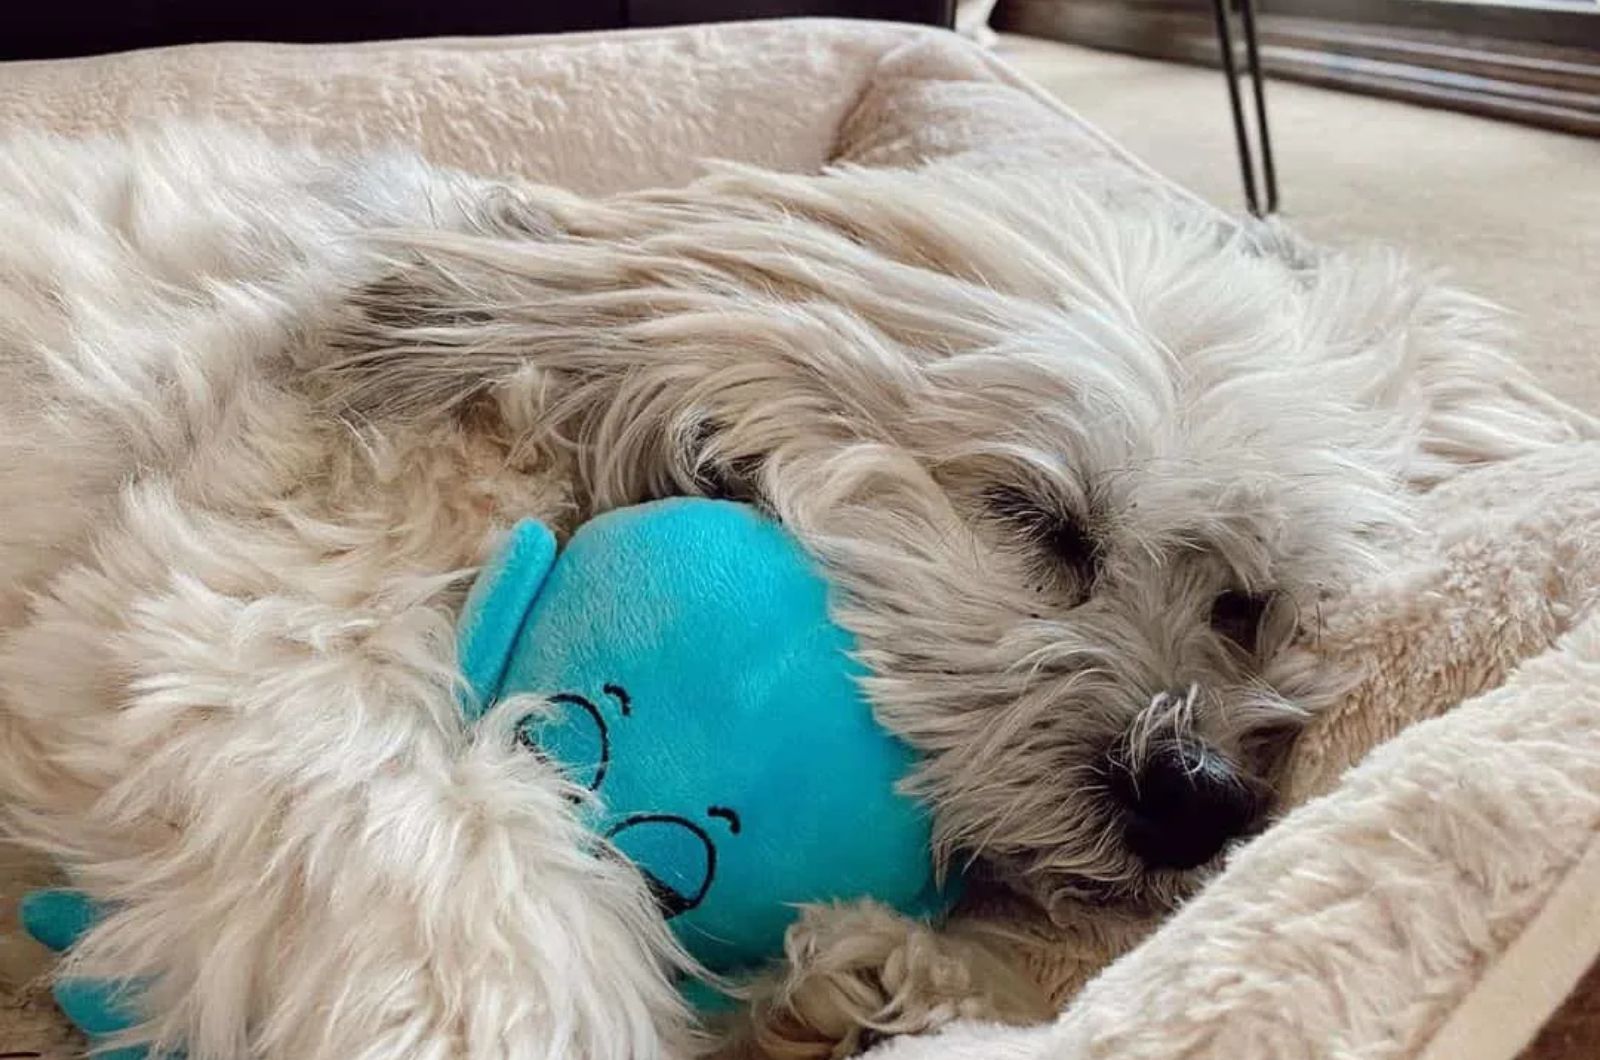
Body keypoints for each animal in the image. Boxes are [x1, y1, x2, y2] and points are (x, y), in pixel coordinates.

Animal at [0, 128, 1587, 1056]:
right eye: (1040, 520)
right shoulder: (250, 650)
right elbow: (463, 882)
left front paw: (889, 977)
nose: (1195, 792)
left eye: (1245, 601)